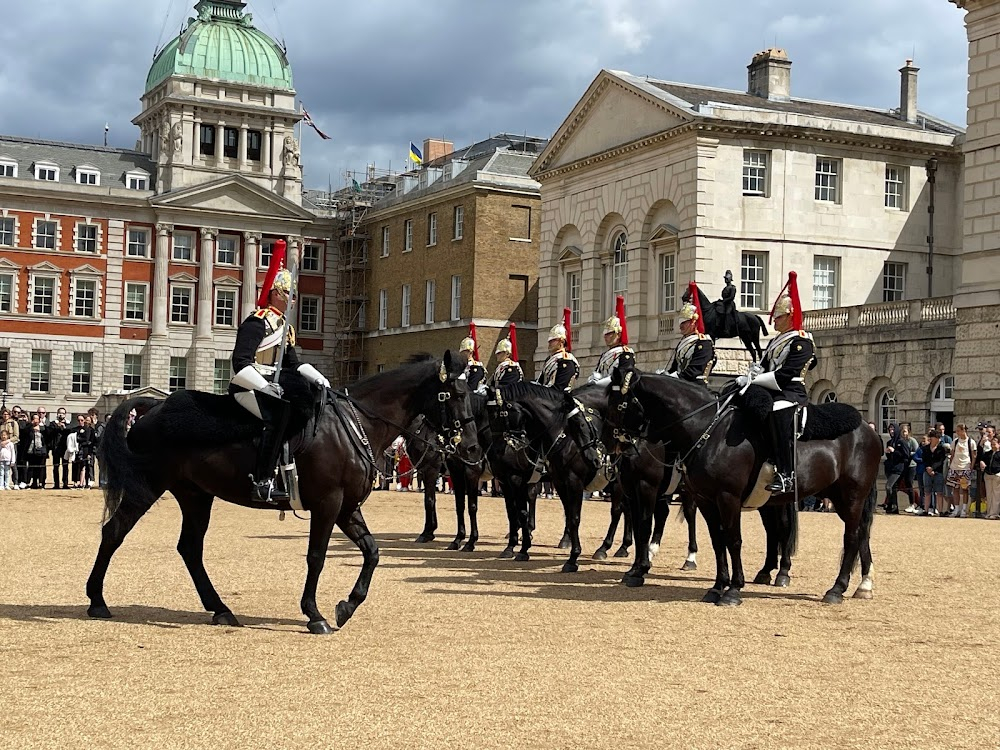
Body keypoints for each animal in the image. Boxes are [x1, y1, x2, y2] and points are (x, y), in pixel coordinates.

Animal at [87, 354, 480, 636]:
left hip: (196, 495)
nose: (473, 449)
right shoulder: (328, 504)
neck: (355, 425)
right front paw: (315, 614)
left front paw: (347, 606)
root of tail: (153, 406)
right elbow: (317, 557)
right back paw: (97, 601)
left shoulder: (347, 508)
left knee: (190, 548)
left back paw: (220, 609)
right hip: (149, 487)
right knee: (114, 532)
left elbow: (372, 552)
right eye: (456, 394)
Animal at [604, 366, 880, 612]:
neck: (707, 429)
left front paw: (733, 589)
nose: (613, 447)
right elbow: (717, 541)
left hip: (851, 497)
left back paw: (836, 588)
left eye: (619, 404)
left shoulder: (725, 497)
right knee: (858, 534)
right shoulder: (705, 499)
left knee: (851, 536)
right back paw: (862, 584)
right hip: (834, 498)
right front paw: (717, 586)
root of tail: (867, 429)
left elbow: (733, 540)